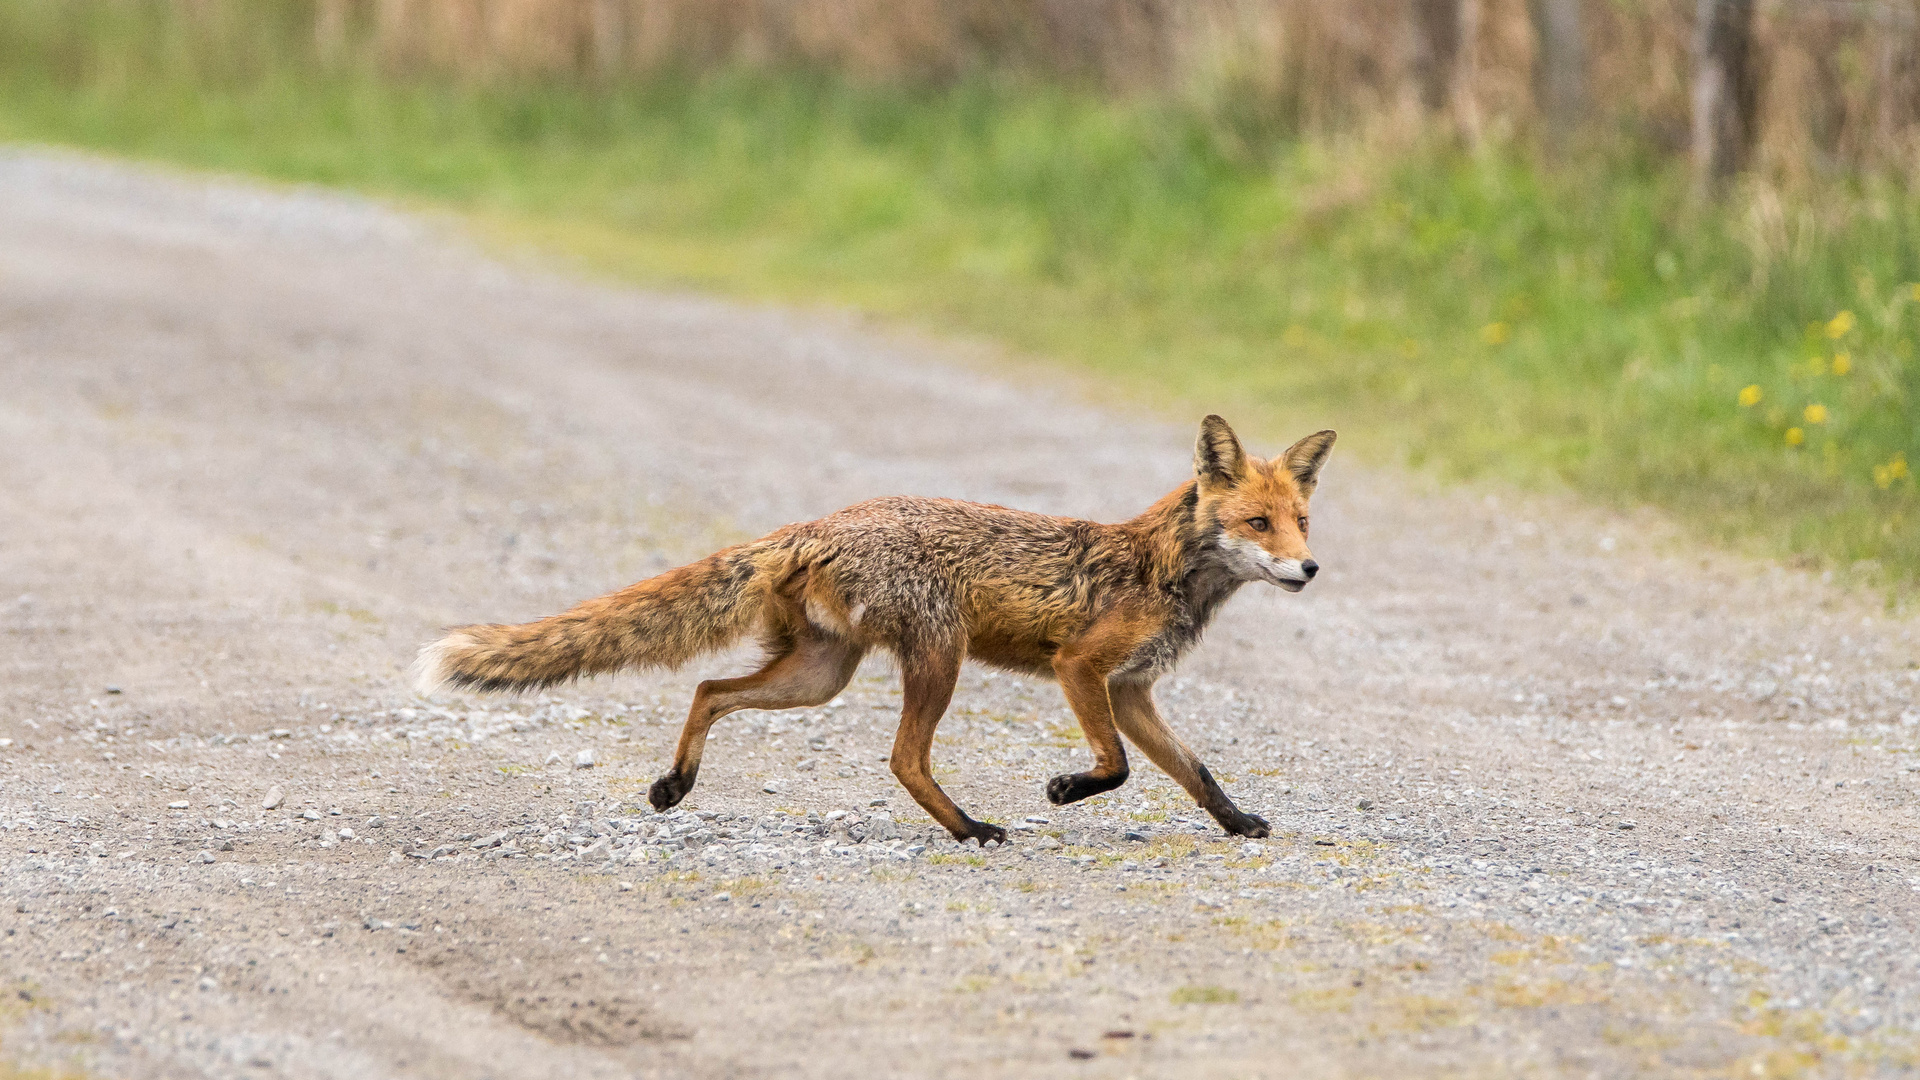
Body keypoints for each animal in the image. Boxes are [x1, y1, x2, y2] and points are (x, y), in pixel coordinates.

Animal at [410, 411, 1328, 841]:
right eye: (1256, 524)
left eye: (1303, 522)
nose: (1310, 570)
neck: (1161, 568)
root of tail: (817, 523)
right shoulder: (1082, 669)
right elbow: (1118, 769)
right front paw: (1065, 791)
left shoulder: (1132, 688)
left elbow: (1194, 771)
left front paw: (1240, 825)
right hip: (938, 657)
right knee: (903, 759)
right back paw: (971, 831)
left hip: (820, 676)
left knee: (708, 687)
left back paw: (676, 784)